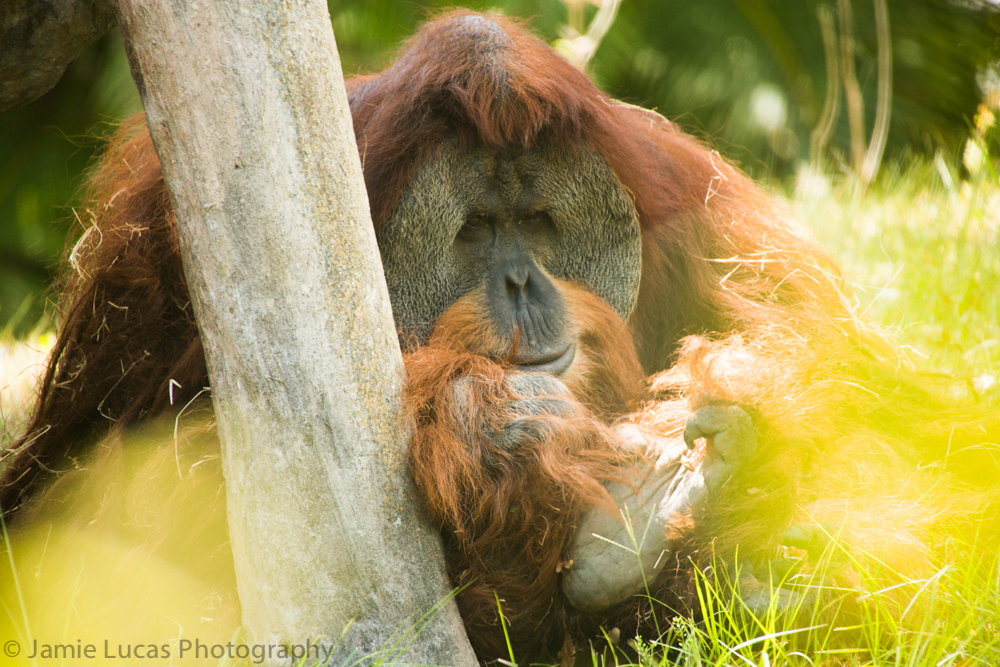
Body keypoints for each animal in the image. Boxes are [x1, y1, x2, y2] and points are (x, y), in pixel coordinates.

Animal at [2, 9, 998, 663]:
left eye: (538, 222)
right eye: (477, 229)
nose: (521, 281)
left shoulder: (692, 195)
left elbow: (859, 386)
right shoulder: (155, 250)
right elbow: (123, 478)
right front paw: (491, 427)